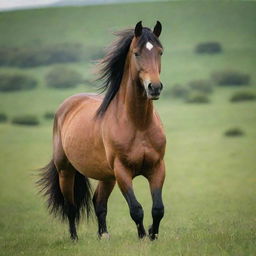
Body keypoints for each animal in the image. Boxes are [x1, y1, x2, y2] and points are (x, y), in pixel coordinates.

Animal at [38, 21, 166, 241]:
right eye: (136, 53)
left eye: (160, 52)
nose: (154, 87)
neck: (138, 124)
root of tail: (67, 106)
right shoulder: (122, 171)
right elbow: (136, 209)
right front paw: (143, 237)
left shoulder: (157, 167)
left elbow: (158, 209)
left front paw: (153, 235)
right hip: (66, 171)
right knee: (71, 207)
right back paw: (74, 239)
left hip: (106, 176)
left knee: (98, 201)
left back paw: (103, 235)